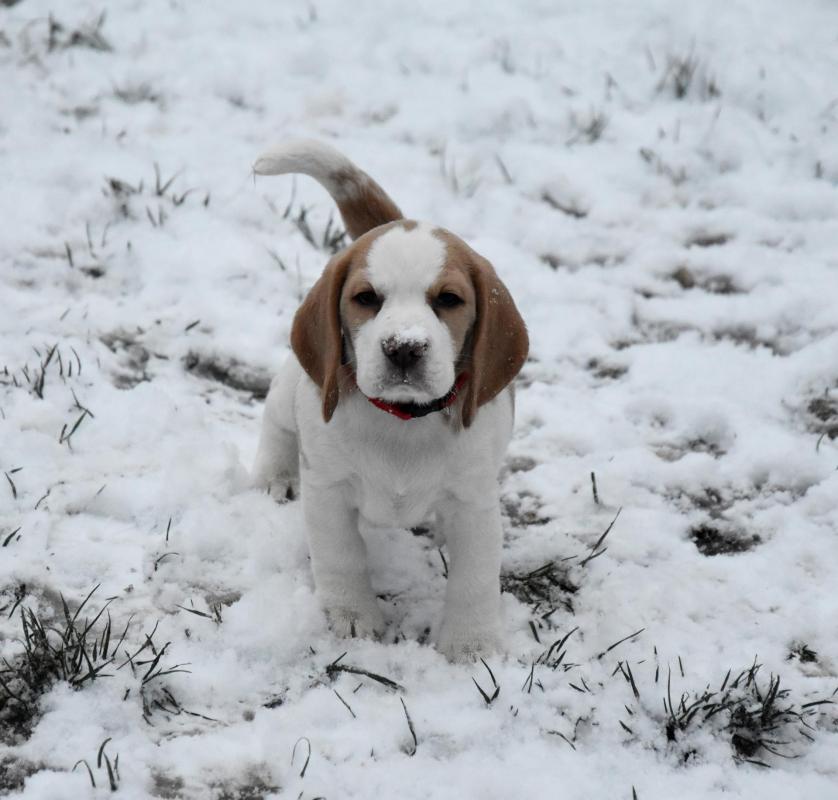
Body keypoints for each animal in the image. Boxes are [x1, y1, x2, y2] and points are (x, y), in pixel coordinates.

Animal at [249, 139, 528, 664]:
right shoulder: (328, 491)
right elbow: (341, 558)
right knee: (275, 422)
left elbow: (475, 578)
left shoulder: (475, 503)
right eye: (366, 298)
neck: (403, 419)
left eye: (449, 299)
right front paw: (352, 616)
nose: (404, 347)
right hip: (293, 388)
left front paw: (471, 642)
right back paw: (275, 474)